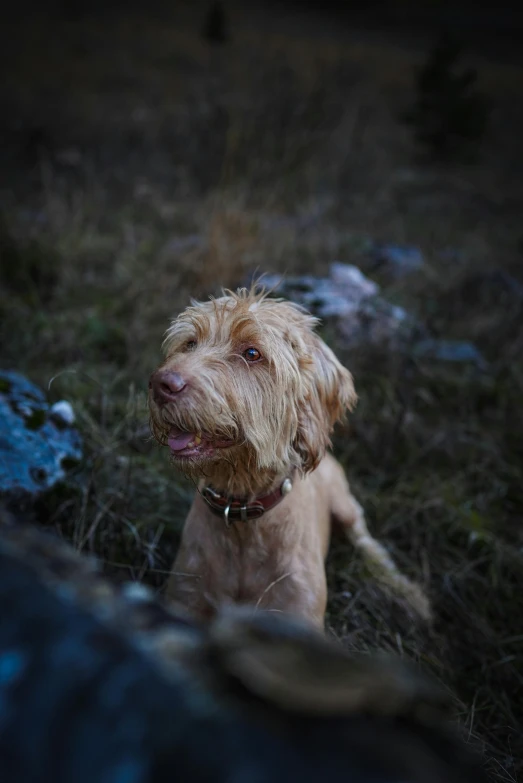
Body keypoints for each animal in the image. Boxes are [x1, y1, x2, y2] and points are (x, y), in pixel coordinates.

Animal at [150, 286, 430, 624]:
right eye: (190, 343)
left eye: (252, 353)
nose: (162, 384)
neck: (243, 517)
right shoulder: (184, 600)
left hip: (345, 503)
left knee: (366, 540)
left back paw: (407, 594)